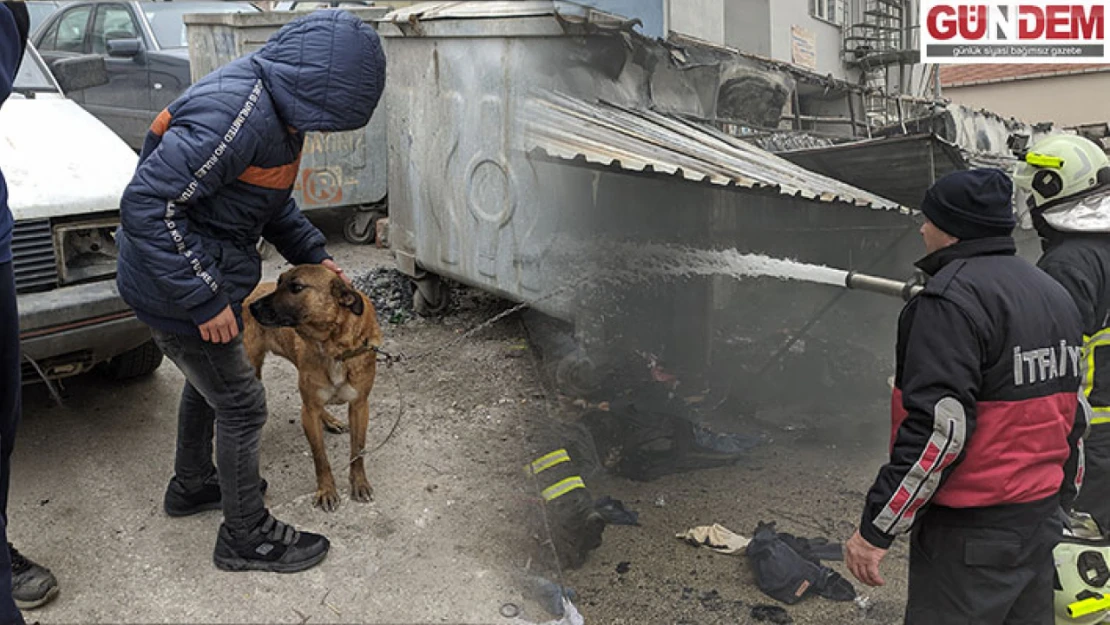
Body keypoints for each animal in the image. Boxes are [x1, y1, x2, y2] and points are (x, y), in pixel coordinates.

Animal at [243, 265, 381, 512]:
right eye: (278, 282)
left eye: (296, 287)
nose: (253, 307)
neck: (333, 346)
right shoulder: (309, 411)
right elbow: (320, 457)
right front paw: (326, 490)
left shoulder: (359, 406)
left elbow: (358, 450)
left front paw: (359, 483)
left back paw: (330, 420)